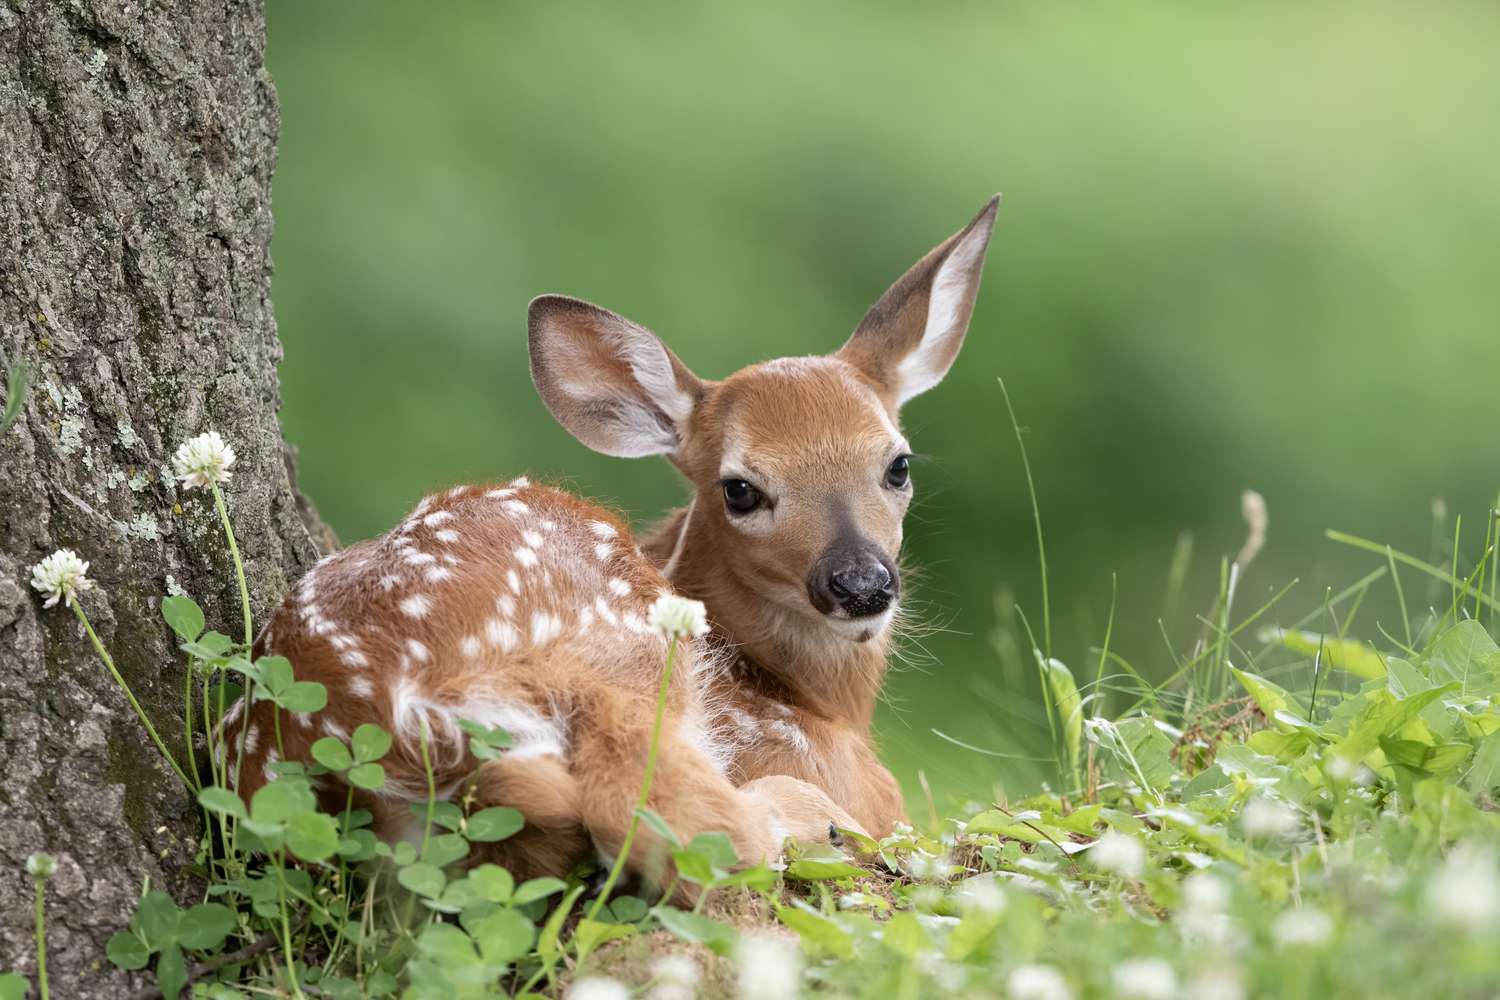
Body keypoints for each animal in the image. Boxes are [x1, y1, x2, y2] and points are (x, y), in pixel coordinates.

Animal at [222, 195, 999, 887]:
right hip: (620, 656)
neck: (813, 701)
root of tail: (394, 717)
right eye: (740, 489)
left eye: (898, 464)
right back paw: (813, 821)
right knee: (672, 820)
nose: (861, 583)